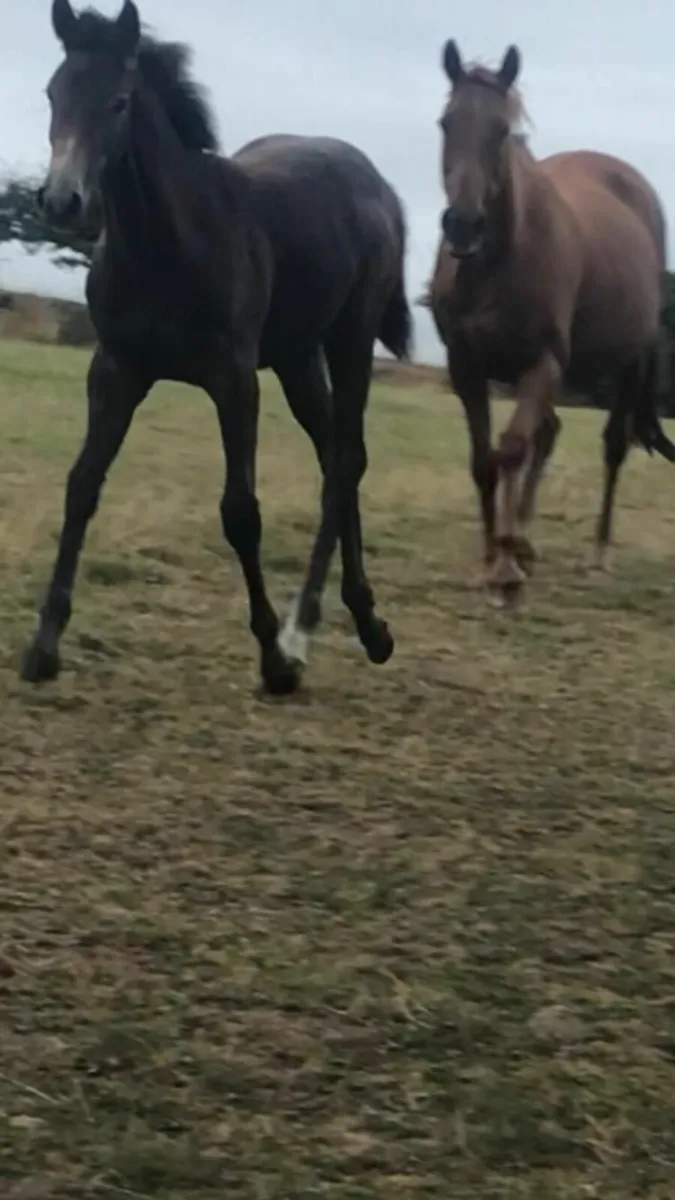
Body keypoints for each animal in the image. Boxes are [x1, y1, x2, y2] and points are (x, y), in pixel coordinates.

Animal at [22, 0, 412, 694]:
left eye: (119, 102)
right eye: (53, 92)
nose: (62, 201)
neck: (168, 245)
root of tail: (375, 180)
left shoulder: (234, 379)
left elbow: (240, 512)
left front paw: (273, 657)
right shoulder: (116, 370)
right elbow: (82, 485)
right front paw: (43, 646)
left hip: (351, 338)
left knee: (346, 459)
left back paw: (317, 631)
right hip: (297, 357)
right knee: (335, 457)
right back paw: (349, 624)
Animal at [429, 40, 675, 605]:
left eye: (503, 130)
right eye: (446, 123)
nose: (463, 225)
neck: (499, 263)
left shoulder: (541, 363)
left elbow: (512, 450)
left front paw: (505, 565)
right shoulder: (465, 366)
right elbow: (484, 459)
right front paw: (493, 557)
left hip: (626, 365)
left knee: (611, 446)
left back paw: (596, 553)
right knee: (550, 433)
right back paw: (524, 539)